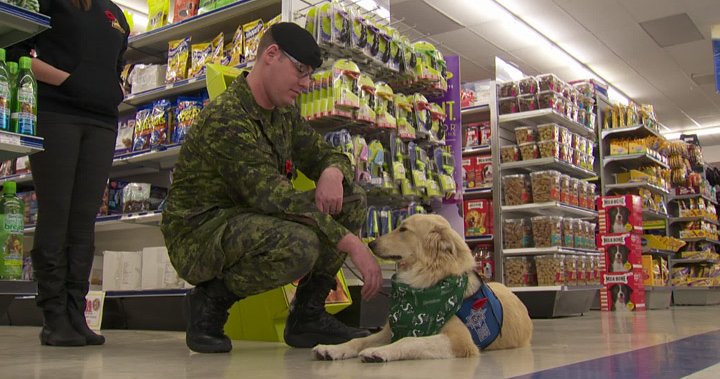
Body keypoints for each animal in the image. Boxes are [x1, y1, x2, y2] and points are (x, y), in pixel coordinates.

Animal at [312, 215, 532, 364]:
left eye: (403, 229)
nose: (371, 244)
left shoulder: (460, 341)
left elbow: (408, 341)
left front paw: (379, 352)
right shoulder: (388, 331)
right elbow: (358, 340)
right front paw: (333, 348)